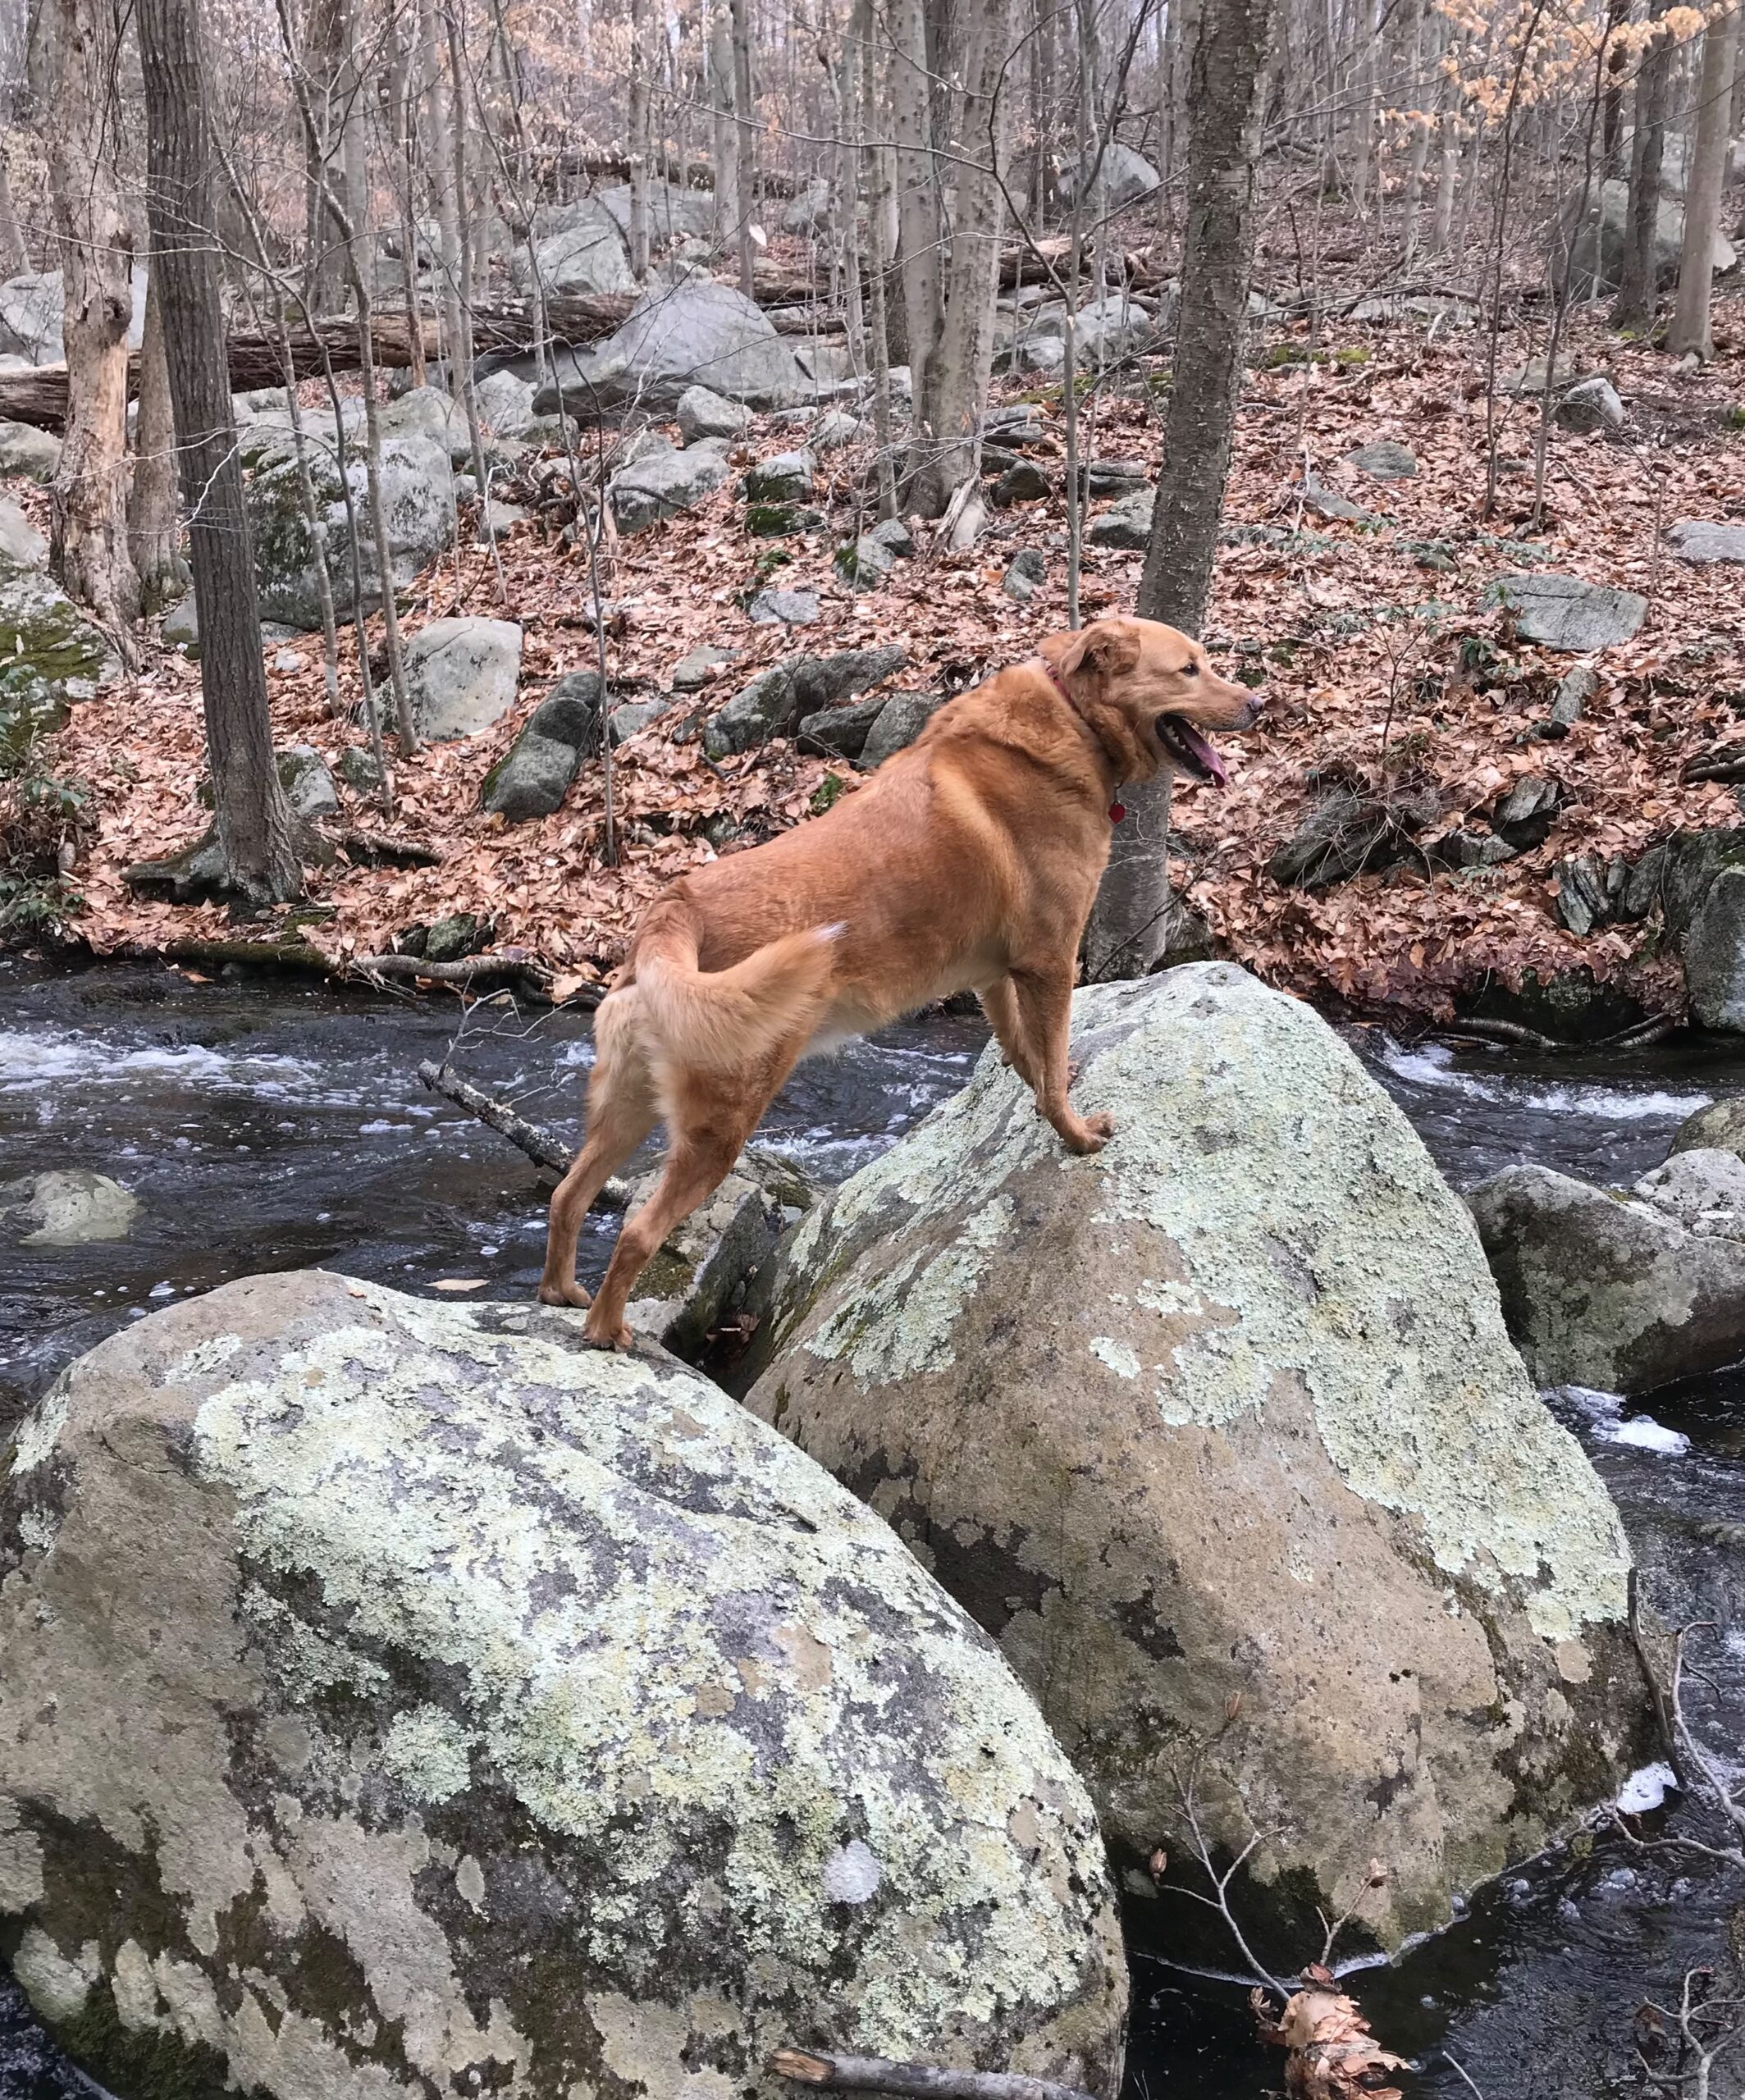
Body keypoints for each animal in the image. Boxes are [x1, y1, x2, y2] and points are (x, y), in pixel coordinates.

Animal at [539, 614, 1262, 1346]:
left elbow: (1028, 1057)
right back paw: (606, 1332)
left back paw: (559, 1294)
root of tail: (675, 905)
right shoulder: (1051, 963)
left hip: (627, 1108)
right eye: (1189, 669)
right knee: (635, 1231)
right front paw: (1076, 1137)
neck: (1072, 717)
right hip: (719, 1128)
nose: (1258, 705)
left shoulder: (996, 977)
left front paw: (1045, 1097)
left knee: (567, 1195)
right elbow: (1053, 1066)